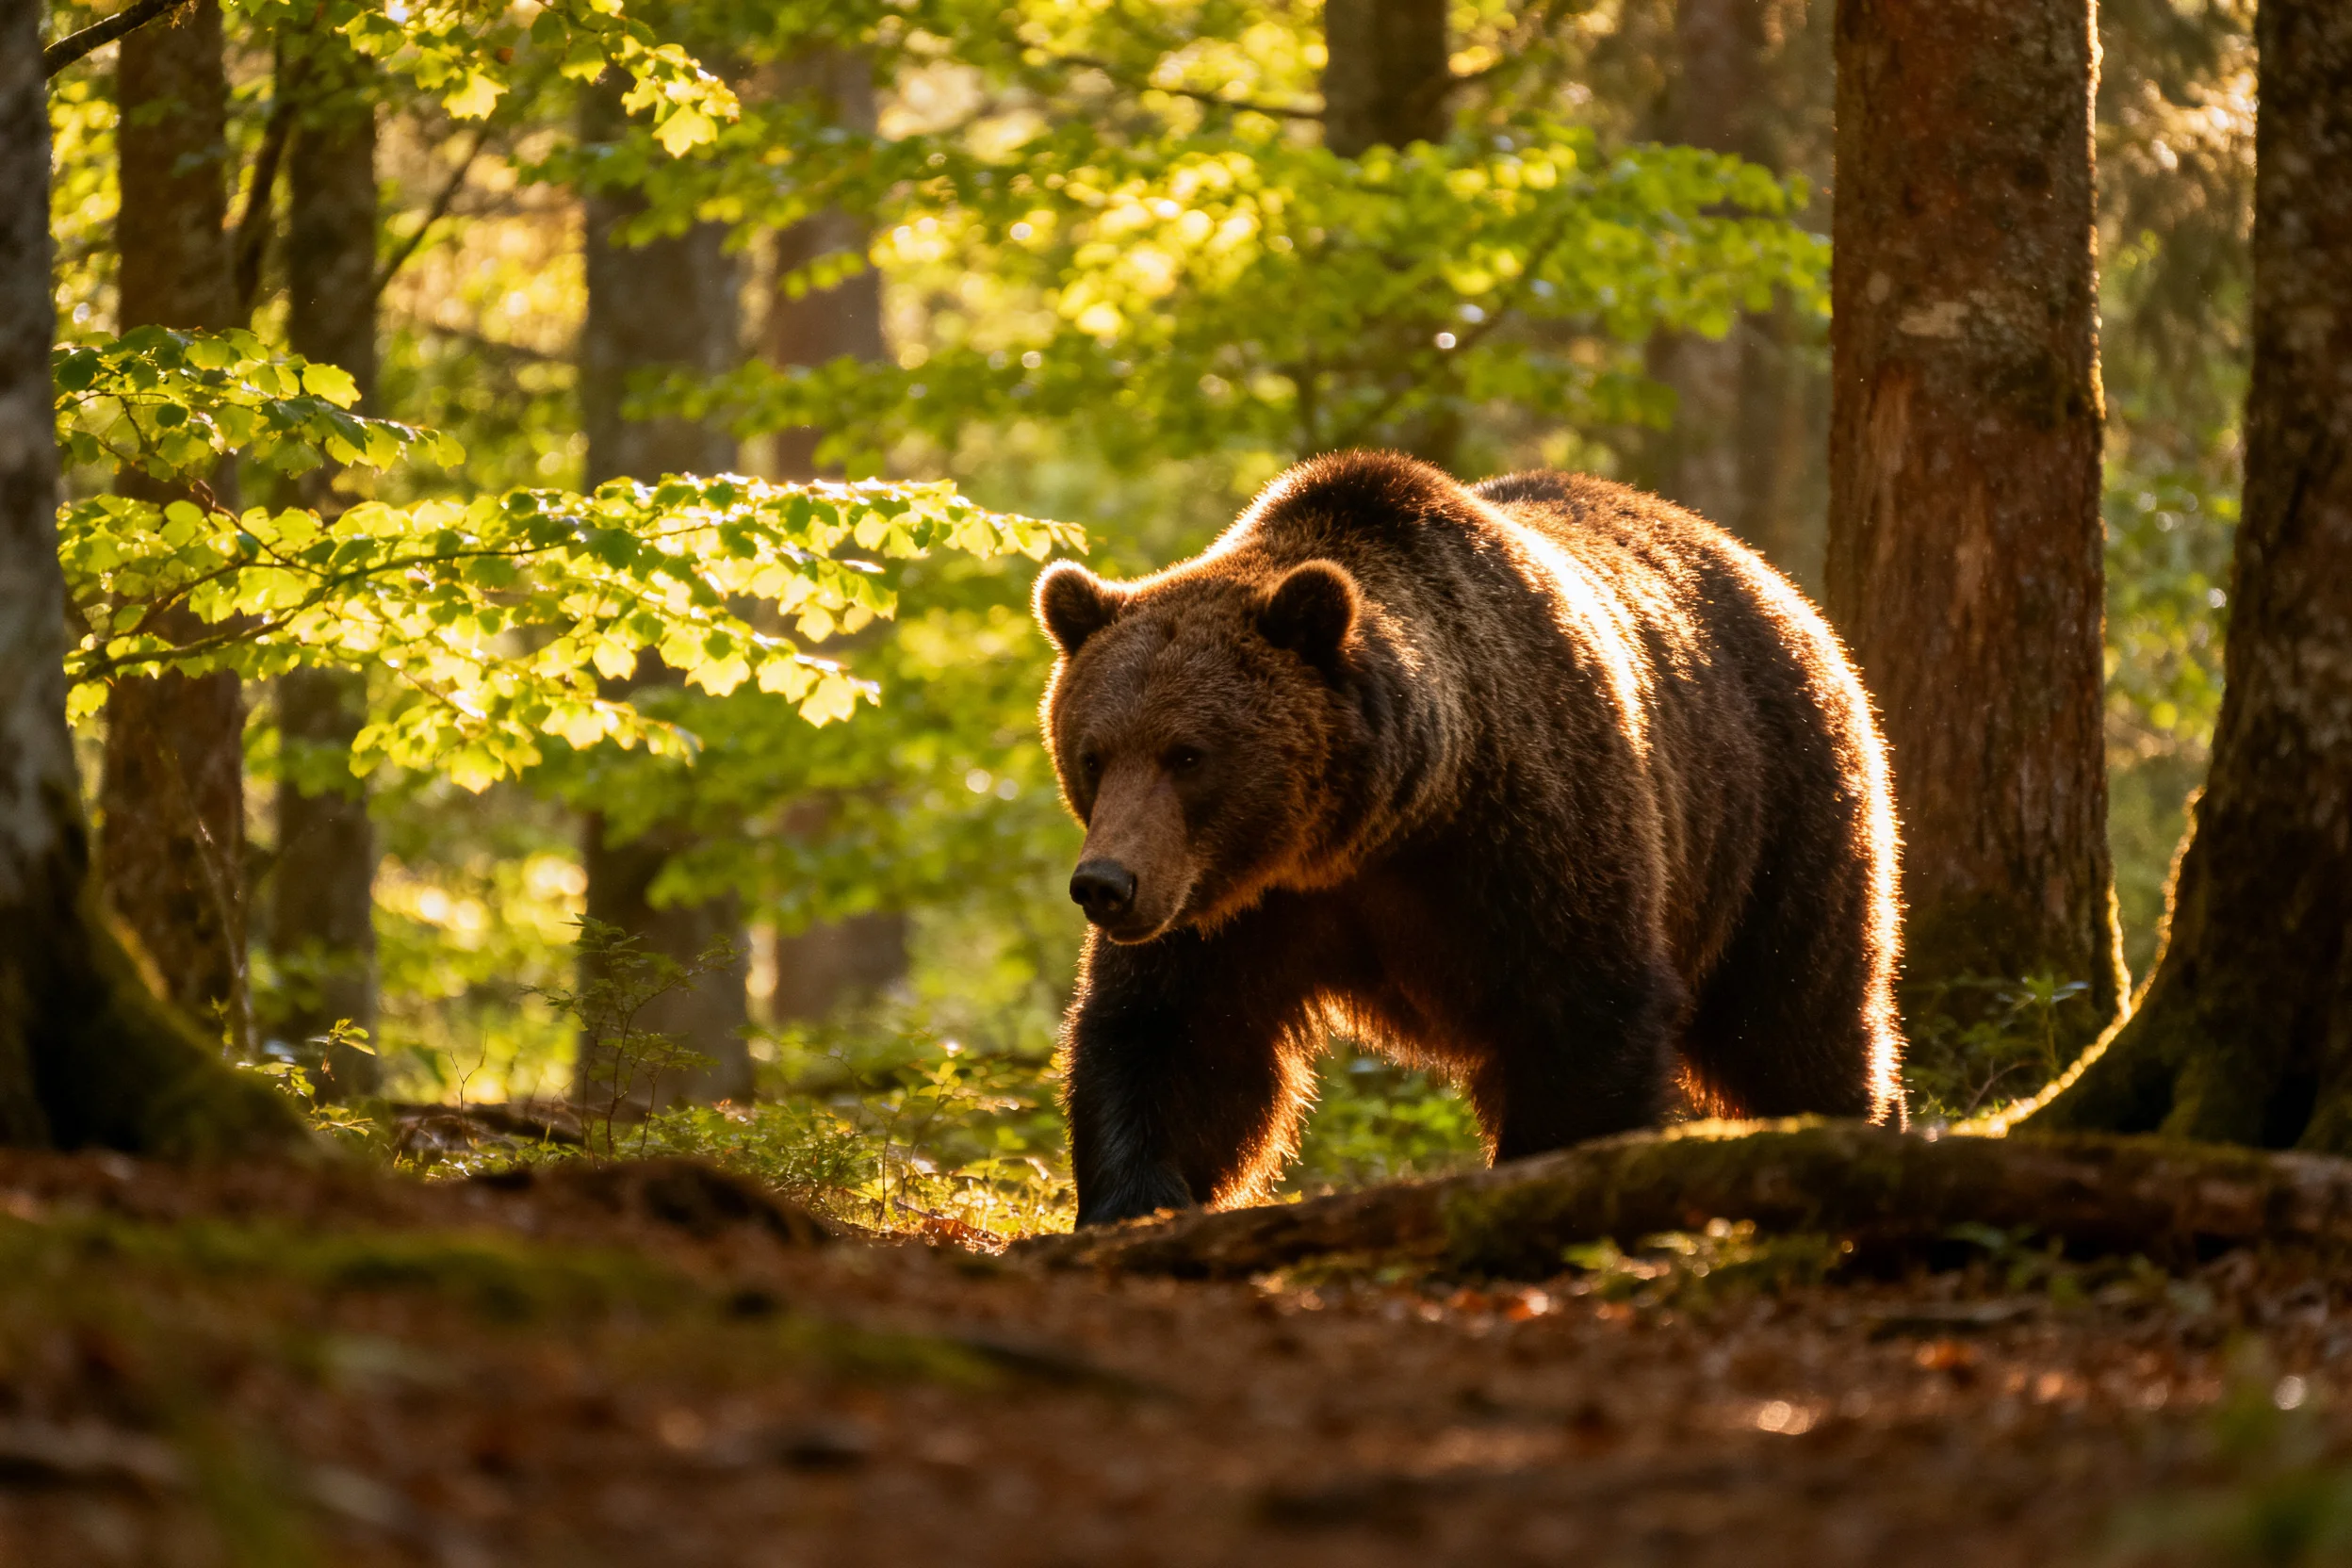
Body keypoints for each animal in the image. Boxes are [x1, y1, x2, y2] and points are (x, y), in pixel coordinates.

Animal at [1033, 451, 1904, 1228]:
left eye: (1188, 755)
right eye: (1092, 754)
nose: (1105, 884)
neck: (1371, 828)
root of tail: (1773, 580)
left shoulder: (1530, 832)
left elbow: (1584, 1011)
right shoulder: (1234, 904)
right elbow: (1174, 1035)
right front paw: (1134, 1201)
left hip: (1776, 810)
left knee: (1797, 1015)